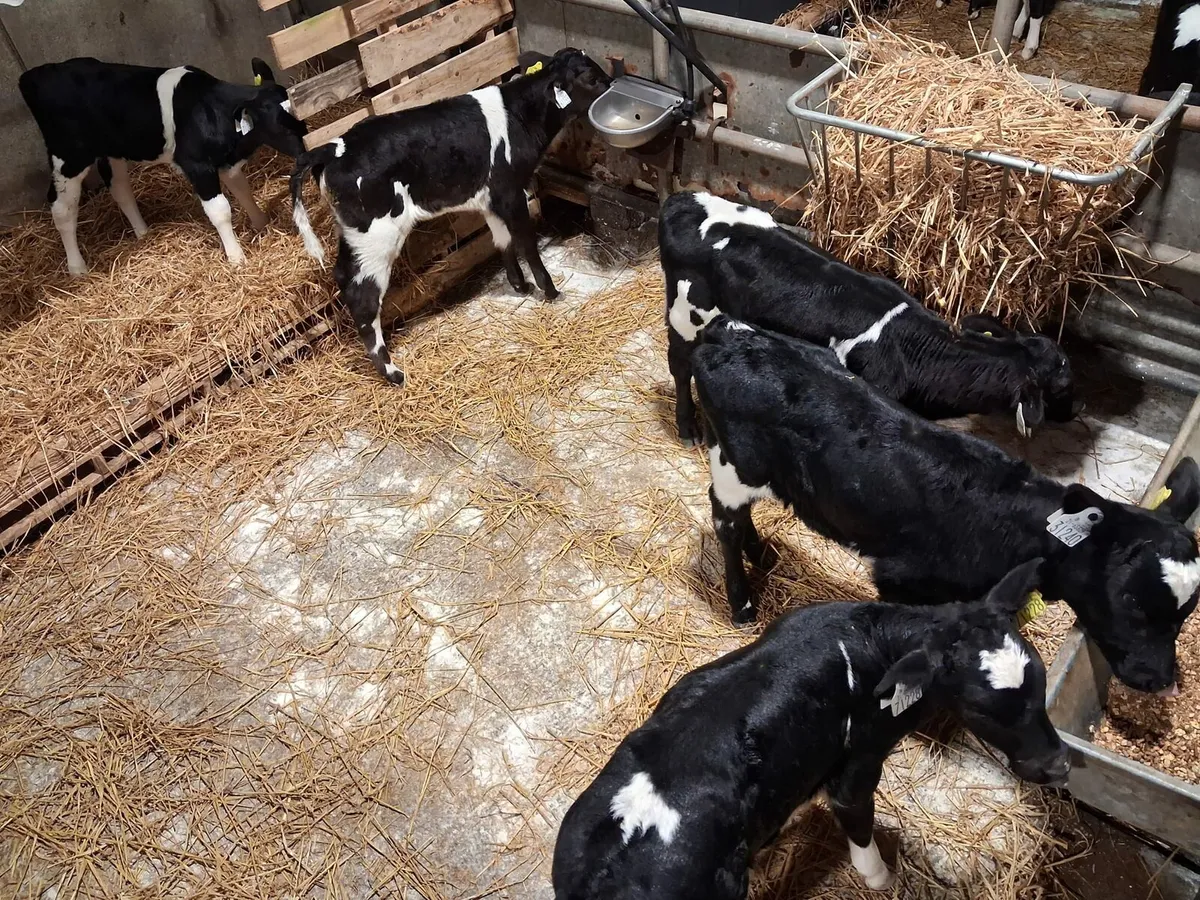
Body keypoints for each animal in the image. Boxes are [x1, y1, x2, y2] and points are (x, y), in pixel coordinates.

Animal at [18, 56, 307, 275]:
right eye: (280, 125)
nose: (305, 154)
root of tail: (33, 75)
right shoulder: (197, 165)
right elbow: (220, 211)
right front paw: (237, 258)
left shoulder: (225, 161)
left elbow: (243, 190)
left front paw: (261, 223)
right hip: (69, 157)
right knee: (62, 207)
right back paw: (77, 269)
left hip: (111, 150)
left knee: (119, 188)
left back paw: (143, 234)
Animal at [289, 48, 611, 386]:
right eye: (590, 78)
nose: (612, 82)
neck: (521, 116)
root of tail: (333, 148)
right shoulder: (511, 191)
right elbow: (526, 241)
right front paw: (549, 290)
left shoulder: (491, 198)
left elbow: (502, 239)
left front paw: (519, 286)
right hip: (377, 236)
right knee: (362, 295)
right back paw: (392, 372)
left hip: (354, 234)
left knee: (342, 276)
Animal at [552, 559, 1067, 900]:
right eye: (983, 710)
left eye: (1042, 681)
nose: (1058, 766)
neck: (870, 639)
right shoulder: (859, 763)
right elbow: (859, 825)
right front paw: (881, 877)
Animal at [658, 190, 1075, 447]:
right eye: (1062, 384)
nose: (1077, 411)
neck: (907, 345)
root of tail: (682, 200)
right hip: (684, 314)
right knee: (680, 366)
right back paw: (689, 427)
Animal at [691, 317, 1200, 695]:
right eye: (1130, 600)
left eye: (1185, 612)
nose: (1162, 682)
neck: (1007, 520)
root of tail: (726, 331)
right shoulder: (902, 580)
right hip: (734, 464)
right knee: (725, 521)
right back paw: (743, 603)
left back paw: (763, 554)